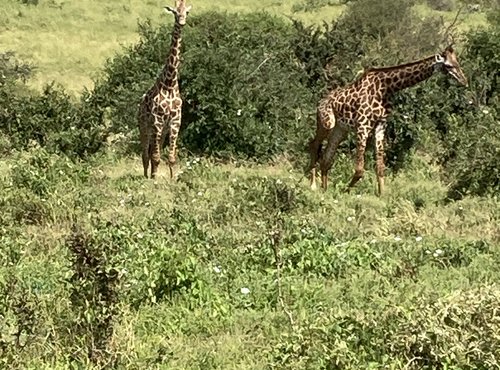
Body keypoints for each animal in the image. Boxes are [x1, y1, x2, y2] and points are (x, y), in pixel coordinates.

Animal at [139, 0, 191, 179]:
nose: (181, 22)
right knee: (145, 153)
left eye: (186, 12)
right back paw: (147, 175)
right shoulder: (157, 120)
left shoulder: (175, 121)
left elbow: (170, 156)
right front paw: (154, 179)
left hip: (161, 130)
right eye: (174, 12)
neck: (169, 83)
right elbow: (154, 155)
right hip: (144, 126)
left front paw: (172, 178)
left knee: (154, 151)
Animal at [308, 45, 468, 197]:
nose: (464, 81)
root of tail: (320, 102)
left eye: (458, 63)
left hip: (341, 129)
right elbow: (360, 169)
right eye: (449, 66)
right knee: (314, 144)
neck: (386, 88)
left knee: (326, 158)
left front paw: (382, 195)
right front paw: (345, 191)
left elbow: (380, 167)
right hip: (327, 123)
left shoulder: (380, 125)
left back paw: (324, 188)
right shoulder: (363, 125)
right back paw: (313, 186)